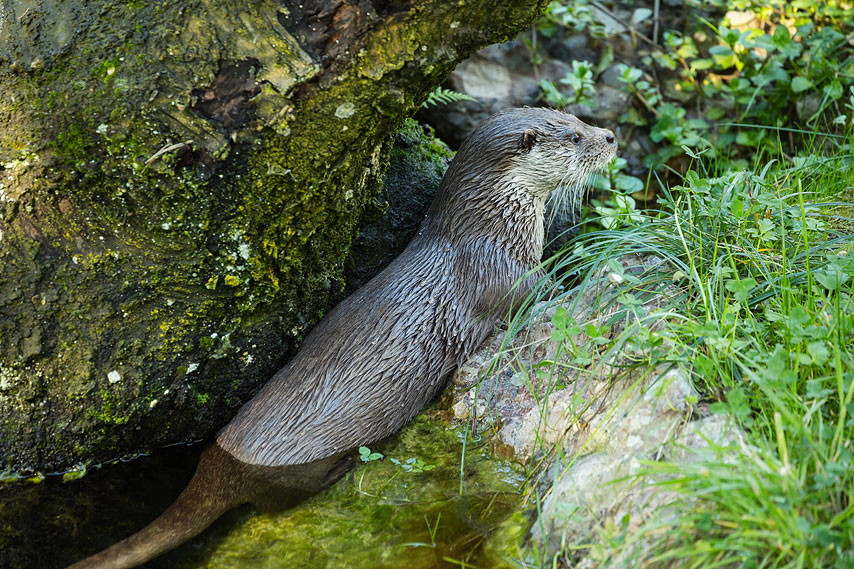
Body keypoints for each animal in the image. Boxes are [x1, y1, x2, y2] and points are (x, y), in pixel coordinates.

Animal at [66, 108, 616, 569]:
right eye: (574, 136)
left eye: (577, 118)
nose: (610, 136)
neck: (491, 232)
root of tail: (222, 454)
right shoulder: (502, 276)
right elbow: (542, 292)